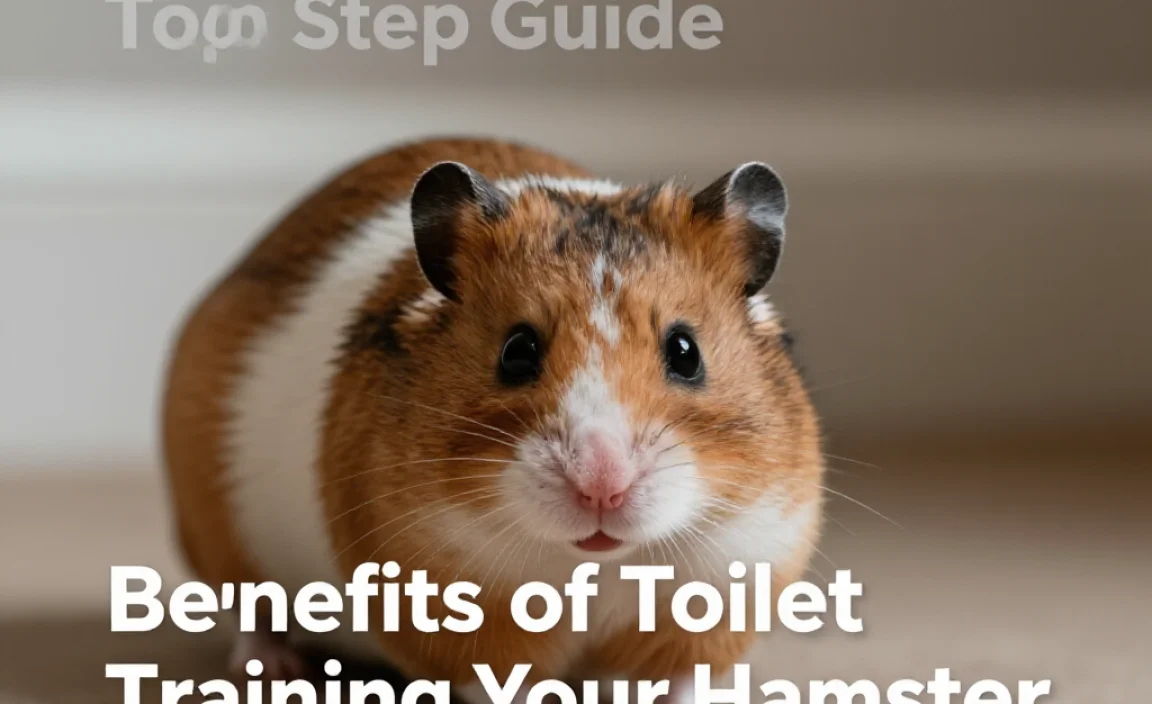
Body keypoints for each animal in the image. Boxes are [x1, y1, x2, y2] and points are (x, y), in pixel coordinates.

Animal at [161, 138, 823, 698]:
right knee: (251, 615)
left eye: (686, 352)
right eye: (516, 351)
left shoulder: (720, 595)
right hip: (221, 541)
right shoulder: (462, 618)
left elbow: (685, 683)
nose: (601, 487)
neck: (595, 564)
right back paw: (273, 668)